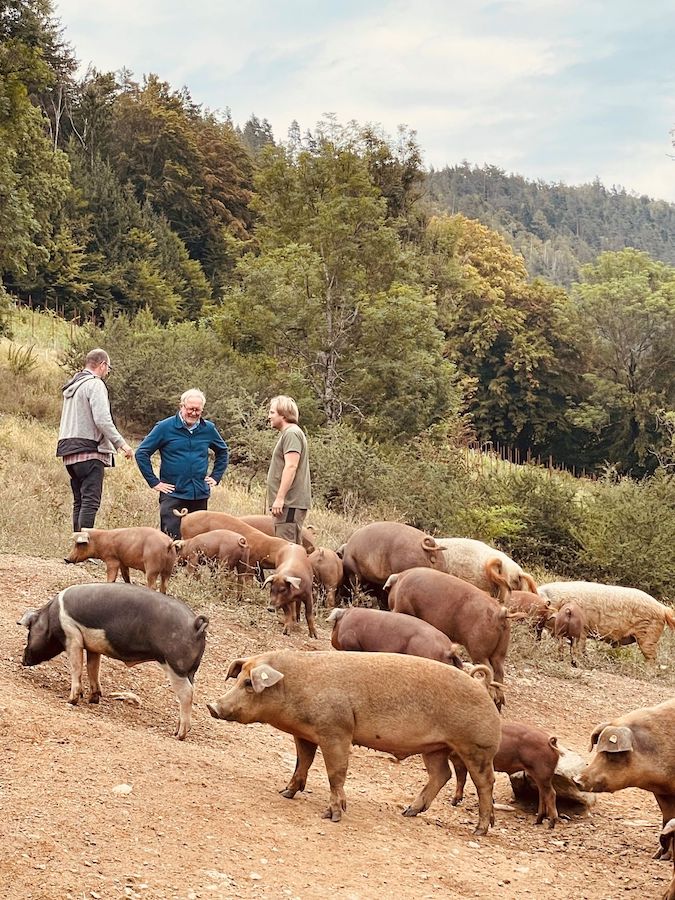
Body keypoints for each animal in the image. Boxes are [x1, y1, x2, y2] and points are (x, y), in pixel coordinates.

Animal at [18, 580, 209, 740]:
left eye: (29, 631)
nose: (23, 660)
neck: (52, 617)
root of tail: (195, 624)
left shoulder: (73, 637)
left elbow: (76, 666)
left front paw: (71, 700)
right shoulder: (93, 647)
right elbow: (93, 668)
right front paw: (93, 698)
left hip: (175, 665)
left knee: (187, 693)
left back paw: (179, 735)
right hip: (191, 671)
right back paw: (177, 731)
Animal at [206, 652, 502, 832]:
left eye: (248, 683)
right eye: (238, 678)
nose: (212, 705)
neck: (295, 688)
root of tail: (483, 688)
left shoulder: (336, 731)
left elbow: (335, 772)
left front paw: (333, 816)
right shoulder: (305, 734)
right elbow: (303, 762)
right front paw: (285, 793)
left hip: (476, 747)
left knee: (484, 782)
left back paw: (480, 830)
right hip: (436, 748)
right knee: (441, 774)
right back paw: (408, 812)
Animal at [386, 568, 512, 712]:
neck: (400, 581)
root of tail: (500, 614)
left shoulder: (402, 605)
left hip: (478, 648)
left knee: (488, 669)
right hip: (500, 652)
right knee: (499, 673)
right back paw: (498, 706)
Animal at [576, 700, 675, 856]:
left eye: (611, 754)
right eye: (597, 752)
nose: (576, 779)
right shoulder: (662, 792)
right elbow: (667, 818)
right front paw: (658, 856)